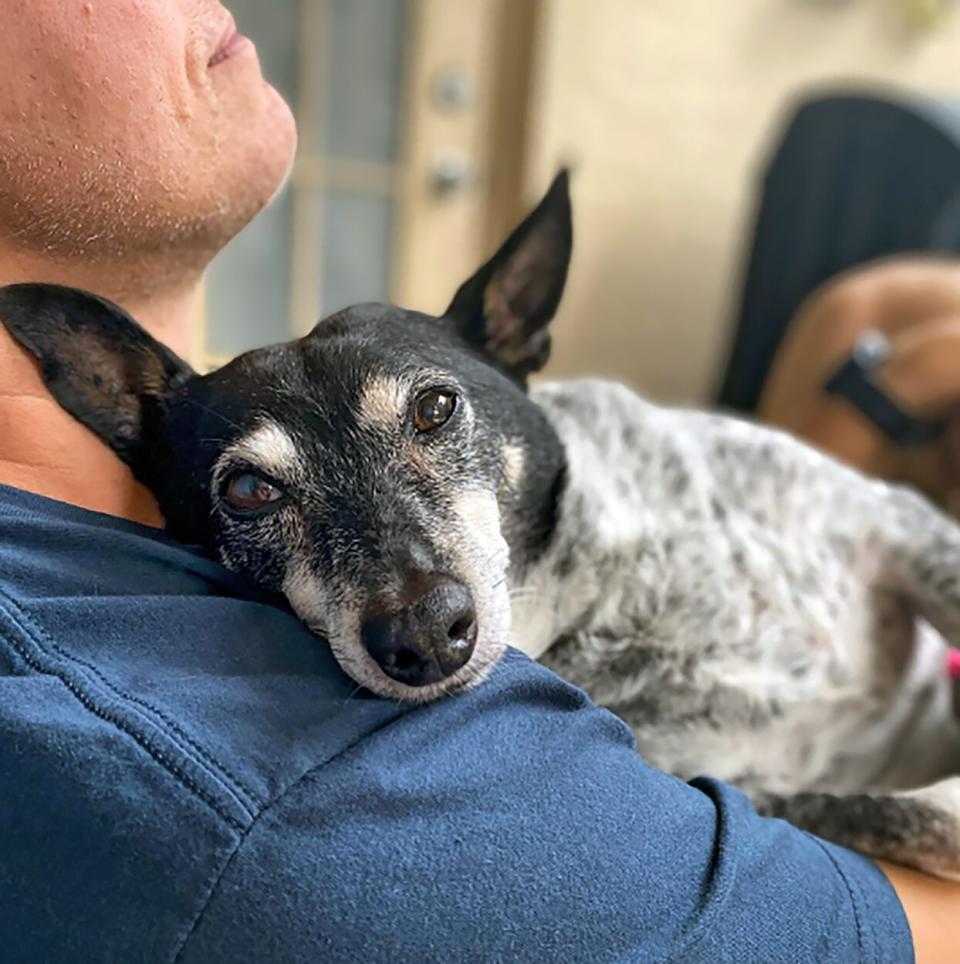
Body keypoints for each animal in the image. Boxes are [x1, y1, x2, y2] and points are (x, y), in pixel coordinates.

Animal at [5, 169, 960, 876]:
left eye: (434, 408)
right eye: (247, 491)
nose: (425, 634)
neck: (618, 602)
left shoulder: (901, 529)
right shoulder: (744, 784)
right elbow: (878, 811)